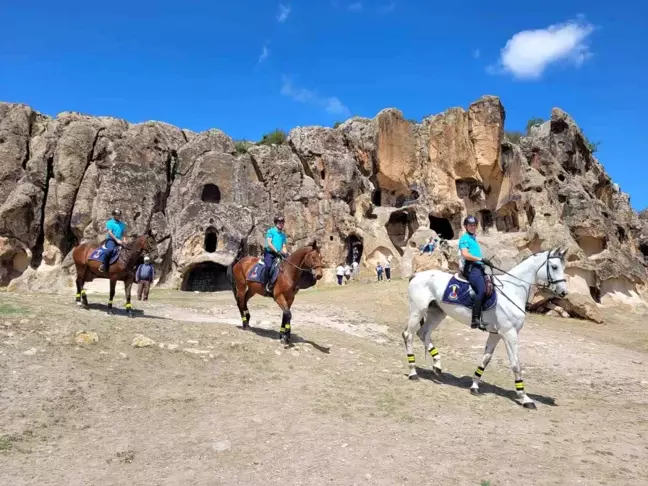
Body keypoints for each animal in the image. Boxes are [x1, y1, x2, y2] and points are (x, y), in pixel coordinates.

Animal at [402, 249, 568, 408]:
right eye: (554, 267)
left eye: (563, 267)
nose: (564, 292)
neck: (513, 290)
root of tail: (417, 275)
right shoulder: (509, 334)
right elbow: (516, 365)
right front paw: (525, 398)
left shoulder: (496, 334)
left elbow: (486, 359)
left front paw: (474, 386)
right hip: (417, 310)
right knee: (408, 335)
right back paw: (413, 373)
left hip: (437, 313)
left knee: (423, 333)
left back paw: (437, 365)